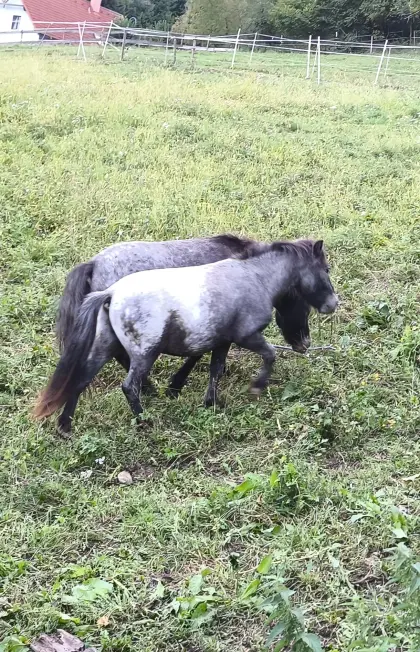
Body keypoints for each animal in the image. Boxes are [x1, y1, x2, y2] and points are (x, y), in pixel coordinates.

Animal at [34, 240, 338, 433]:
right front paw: (256, 386)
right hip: (144, 354)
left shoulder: (222, 340)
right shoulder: (246, 336)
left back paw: (65, 425)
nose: (334, 304)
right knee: (129, 386)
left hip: (103, 348)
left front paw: (210, 402)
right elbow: (269, 355)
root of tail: (110, 293)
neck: (254, 276)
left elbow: (215, 368)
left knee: (81, 378)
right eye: (325, 269)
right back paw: (145, 421)